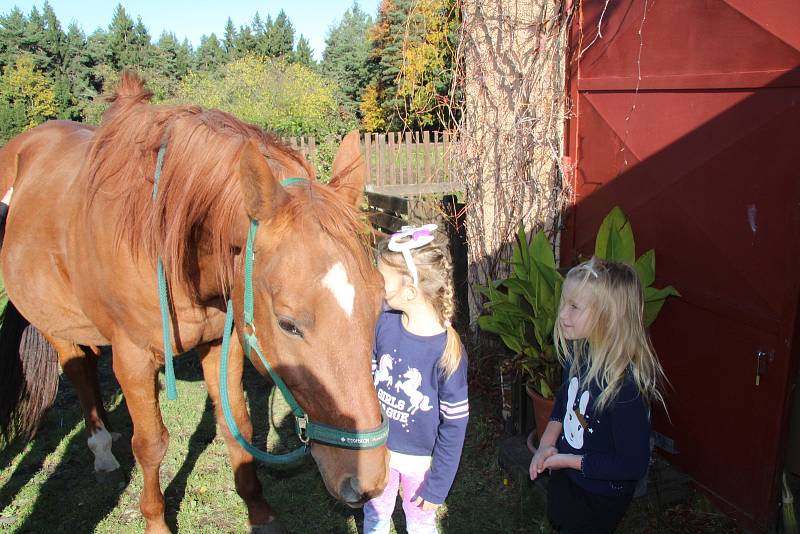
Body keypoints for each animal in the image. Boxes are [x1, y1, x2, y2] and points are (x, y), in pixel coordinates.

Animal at [0, 72, 390, 534]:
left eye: (379, 304)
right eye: (288, 323)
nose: (369, 482)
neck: (163, 238)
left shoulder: (224, 344)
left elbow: (237, 424)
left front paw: (259, 511)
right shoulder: (133, 358)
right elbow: (151, 444)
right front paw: (156, 522)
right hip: (54, 325)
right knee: (78, 370)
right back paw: (102, 449)